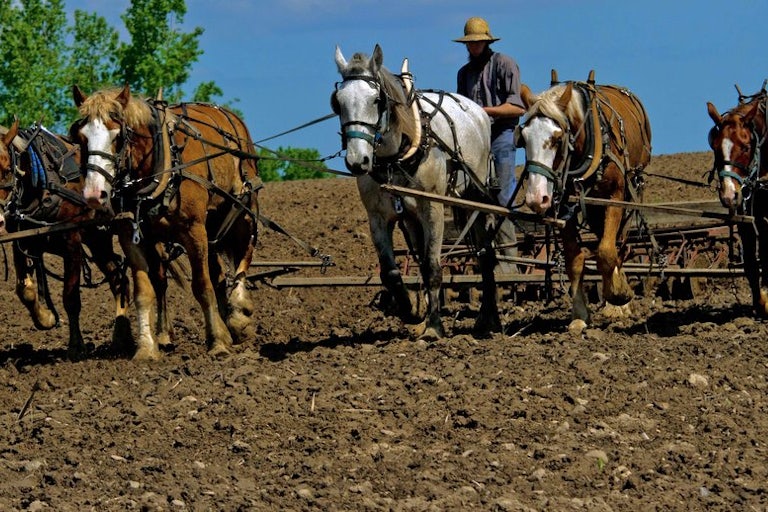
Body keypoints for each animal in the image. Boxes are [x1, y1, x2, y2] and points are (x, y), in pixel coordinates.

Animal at [0, 120, 127, 360]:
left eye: (5, 171)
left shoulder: (72, 242)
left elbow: (70, 297)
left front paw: (76, 346)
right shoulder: (20, 241)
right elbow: (24, 289)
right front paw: (46, 318)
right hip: (98, 240)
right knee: (117, 277)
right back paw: (120, 337)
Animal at [73, 85, 264, 360]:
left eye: (118, 136)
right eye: (82, 137)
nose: (93, 194)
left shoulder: (194, 230)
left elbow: (202, 286)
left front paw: (217, 342)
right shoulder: (131, 236)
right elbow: (144, 292)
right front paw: (146, 348)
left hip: (243, 208)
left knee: (244, 255)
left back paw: (239, 314)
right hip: (210, 226)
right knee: (213, 275)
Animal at [332, 45, 500, 340]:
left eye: (376, 100)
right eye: (338, 102)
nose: (357, 161)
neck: (396, 157)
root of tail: (477, 111)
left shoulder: (432, 209)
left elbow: (432, 266)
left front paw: (433, 327)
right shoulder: (378, 217)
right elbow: (390, 272)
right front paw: (410, 309)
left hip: (475, 199)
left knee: (485, 256)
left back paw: (487, 319)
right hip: (411, 219)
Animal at [520, 72, 652, 334]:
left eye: (557, 138)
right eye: (523, 138)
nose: (536, 198)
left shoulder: (614, 196)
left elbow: (606, 251)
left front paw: (618, 295)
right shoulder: (566, 206)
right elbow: (574, 258)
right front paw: (580, 315)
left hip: (630, 191)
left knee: (620, 243)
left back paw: (618, 301)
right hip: (592, 208)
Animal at [708, 83, 768, 316]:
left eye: (745, 147)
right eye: (715, 147)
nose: (729, 194)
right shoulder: (748, 215)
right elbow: (751, 261)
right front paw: (760, 303)